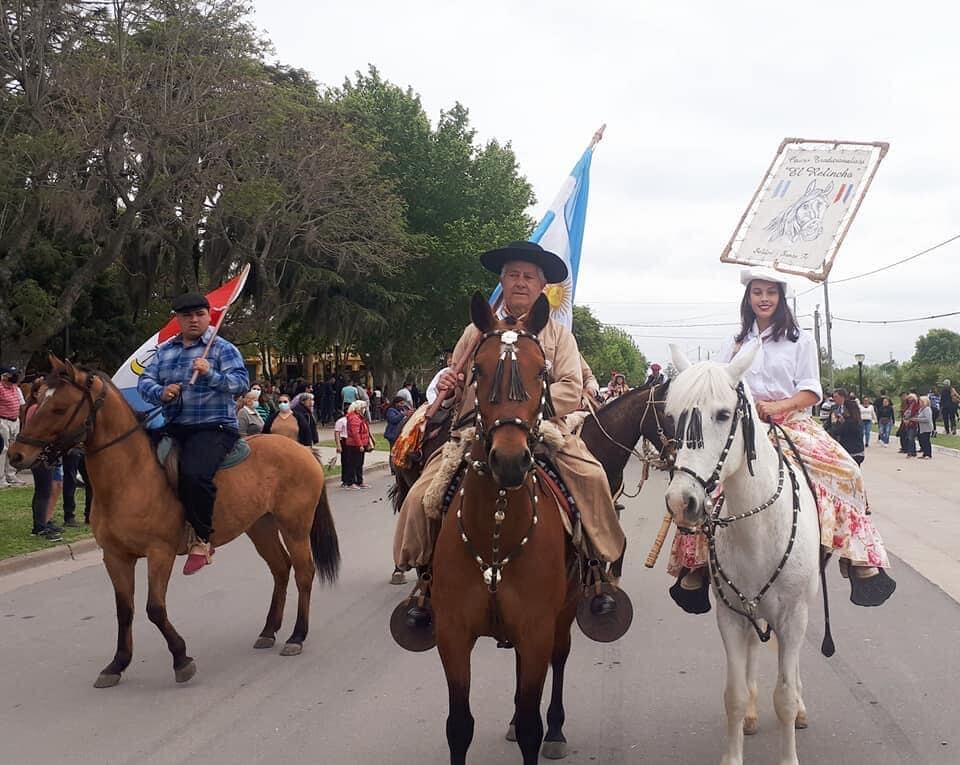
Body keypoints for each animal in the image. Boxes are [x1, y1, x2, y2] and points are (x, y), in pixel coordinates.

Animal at [8, 358, 342, 688]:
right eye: (36, 400)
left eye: (59, 408)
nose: (16, 454)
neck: (129, 475)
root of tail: (302, 450)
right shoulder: (115, 557)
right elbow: (124, 610)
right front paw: (117, 663)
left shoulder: (160, 552)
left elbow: (154, 608)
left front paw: (181, 658)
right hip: (261, 526)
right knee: (281, 569)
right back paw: (269, 630)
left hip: (295, 527)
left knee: (304, 572)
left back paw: (297, 635)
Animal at [434, 294, 576, 764]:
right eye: (477, 371)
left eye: (542, 372)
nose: (510, 461)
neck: (496, 534)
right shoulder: (452, 633)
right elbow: (459, 726)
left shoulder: (536, 630)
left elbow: (532, 725)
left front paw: (541, 730)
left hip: (563, 616)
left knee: (560, 659)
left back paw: (557, 729)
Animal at [664, 346, 820, 764]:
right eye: (674, 417)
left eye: (722, 414)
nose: (681, 502)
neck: (759, 530)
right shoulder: (731, 617)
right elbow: (732, 695)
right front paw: (735, 746)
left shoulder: (793, 617)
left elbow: (784, 695)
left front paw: (789, 749)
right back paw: (752, 713)